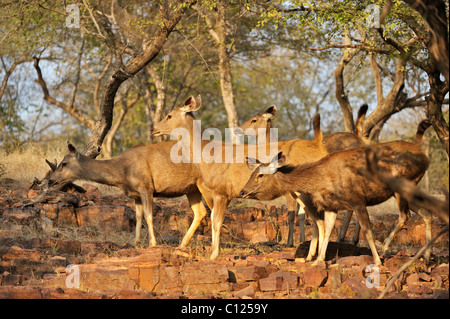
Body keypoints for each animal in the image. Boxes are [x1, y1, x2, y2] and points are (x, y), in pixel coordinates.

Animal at [46, 117, 208, 250]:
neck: (123, 174)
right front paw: (135, 243)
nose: (51, 180)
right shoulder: (136, 195)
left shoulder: (146, 187)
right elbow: (139, 217)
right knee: (201, 211)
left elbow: (149, 216)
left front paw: (152, 243)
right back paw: (182, 244)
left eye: (64, 163)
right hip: (191, 189)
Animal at [152, 95, 326, 260]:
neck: (206, 156)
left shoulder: (222, 192)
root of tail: (320, 148)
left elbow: (216, 222)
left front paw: (213, 254)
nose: (154, 129)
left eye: (169, 115)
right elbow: (212, 218)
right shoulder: (212, 193)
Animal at [241, 119, 434, 264]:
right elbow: (327, 231)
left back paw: (386, 249)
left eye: (260, 175)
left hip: (402, 189)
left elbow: (367, 231)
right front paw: (318, 260)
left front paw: (377, 261)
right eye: (252, 172)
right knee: (426, 212)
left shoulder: (357, 201)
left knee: (405, 216)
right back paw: (426, 256)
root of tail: (423, 155)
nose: (243, 191)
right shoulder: (331, 207)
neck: (320, 178)